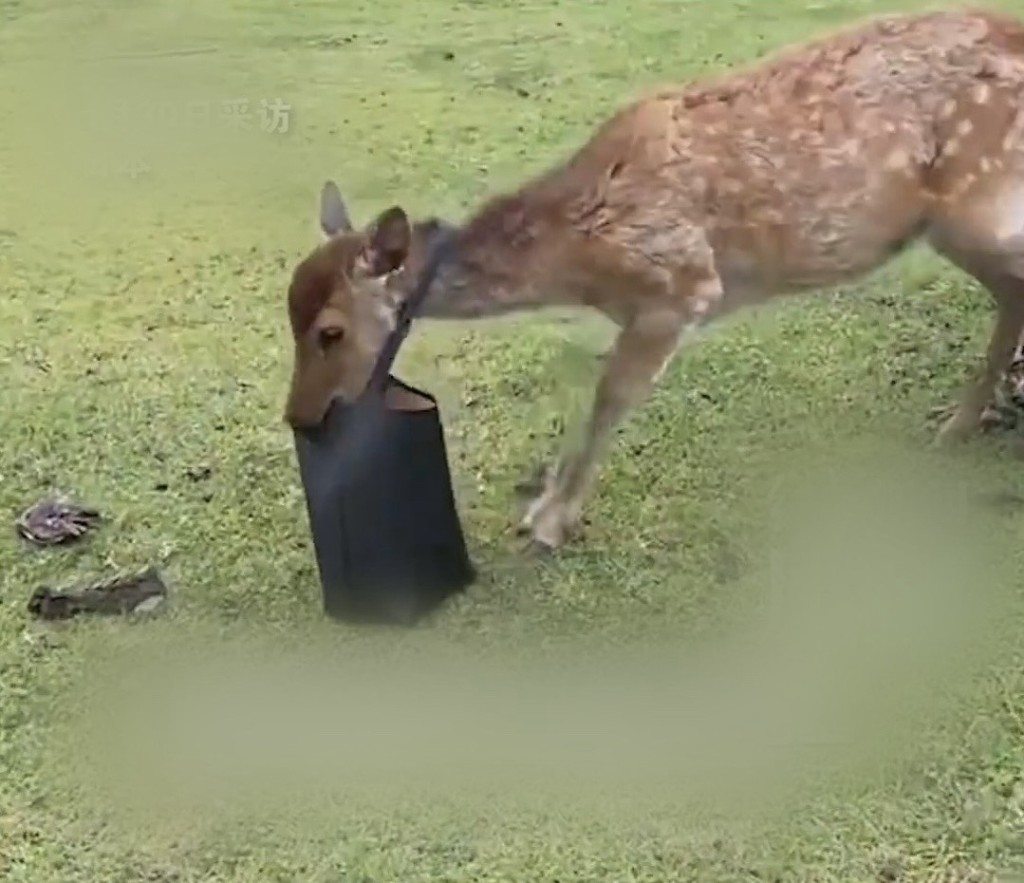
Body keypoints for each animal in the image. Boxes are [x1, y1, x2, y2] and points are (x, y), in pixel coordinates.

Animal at [284, 6, 1024, 551]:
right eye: (287, 311)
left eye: (330, 331)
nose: (299, 415)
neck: (578, 260)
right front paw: (548, 506)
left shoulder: (681, 285)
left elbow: (608, 396)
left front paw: (550, 520)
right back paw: (971, 416)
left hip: (975, 205)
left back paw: (967, 420)